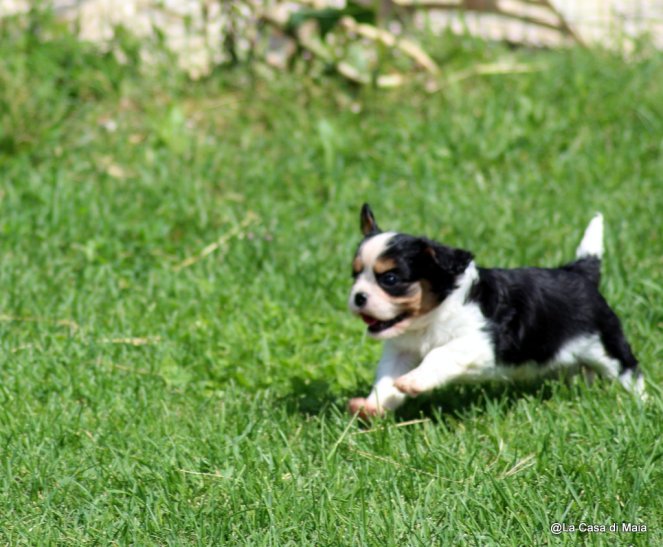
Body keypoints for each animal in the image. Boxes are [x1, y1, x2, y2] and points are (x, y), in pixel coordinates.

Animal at [348, 204, 644, 418]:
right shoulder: (401, 352)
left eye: (390, 279)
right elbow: (387, 378)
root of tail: (579, 272)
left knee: (629, 369)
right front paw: (373, 405)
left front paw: (414, 382)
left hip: (605, 344)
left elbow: (440, 354)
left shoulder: (480, 340)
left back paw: (641, 403)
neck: (429, 319)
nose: (357, 297)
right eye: (355, 275)